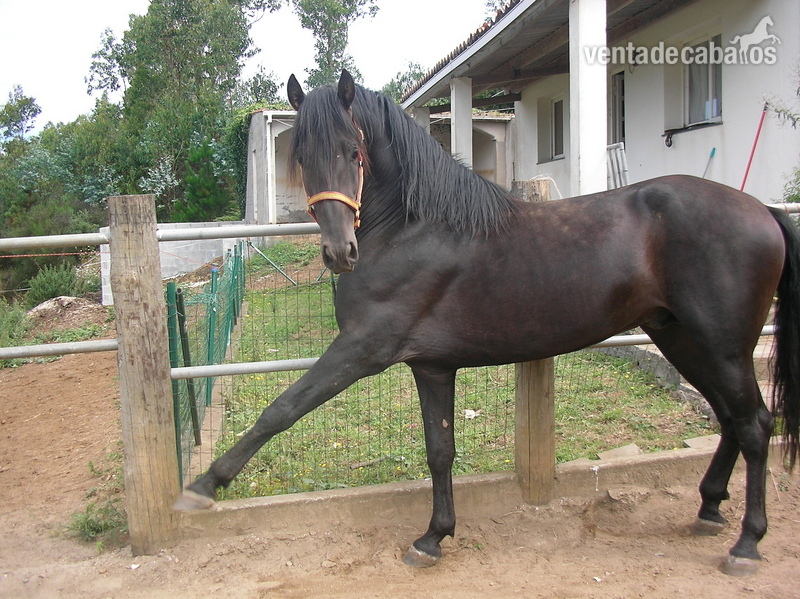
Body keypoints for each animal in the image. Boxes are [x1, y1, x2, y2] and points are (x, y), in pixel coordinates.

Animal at [176, 70, 800, 576]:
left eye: (355, 152)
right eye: (301, 155)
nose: (338, 252)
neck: (413, 227)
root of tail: (763, 210)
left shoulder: (361, 349)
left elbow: (281, 409)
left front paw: (203, 487)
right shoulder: (431, 366)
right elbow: (439, 450)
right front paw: (433, 537)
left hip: (721, 345)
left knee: (754, 424)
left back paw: (746, 544)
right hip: (680, 336)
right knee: (730, 417)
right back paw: (709, 507)